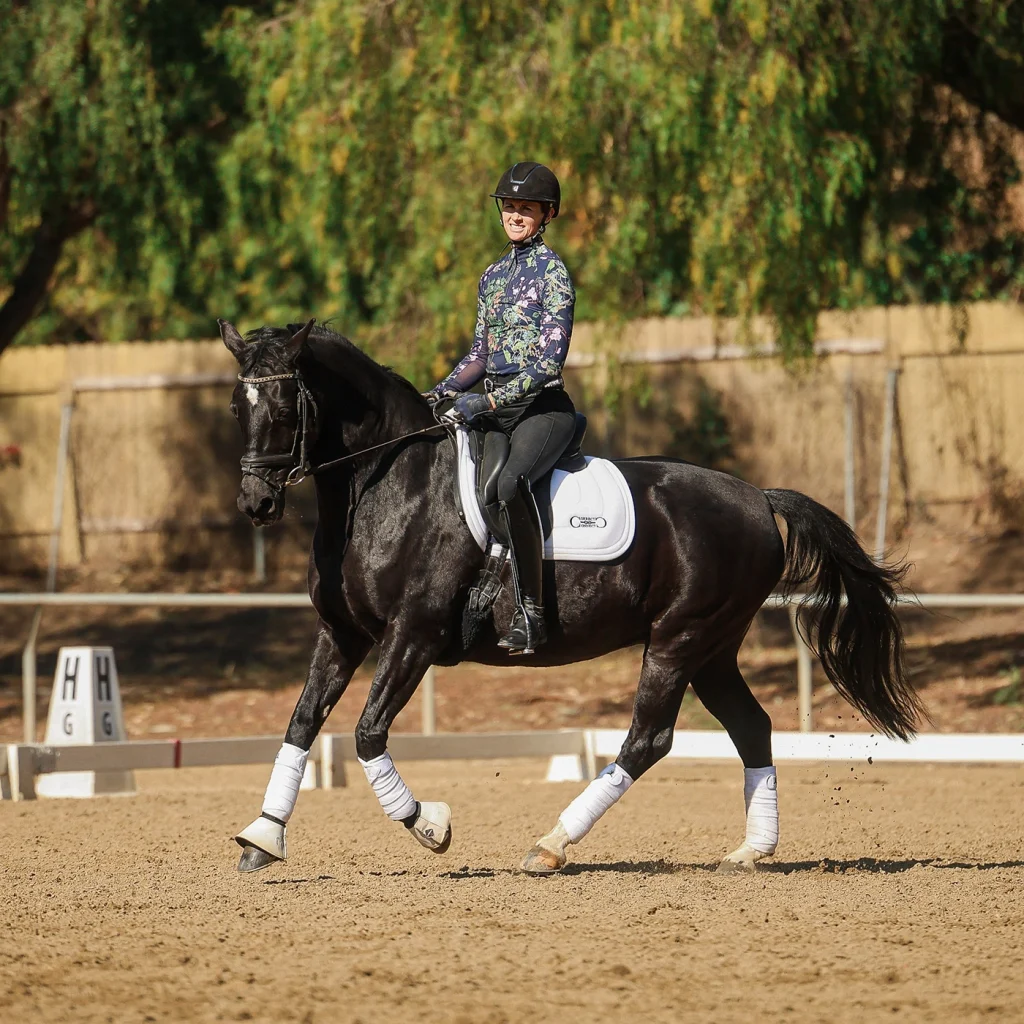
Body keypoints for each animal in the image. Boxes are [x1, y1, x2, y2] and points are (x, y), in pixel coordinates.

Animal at [218, 317, 921, 876]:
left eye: (283, 406)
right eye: (235, 408)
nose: (256, 505)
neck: (389, 484)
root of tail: (757, 497)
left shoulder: (412, 633)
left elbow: (366, 733)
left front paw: (431, 826)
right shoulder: (343, 633)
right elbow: (302, 723)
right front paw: (263, 837)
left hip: (679, 638)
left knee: (648, 739)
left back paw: (551, 844)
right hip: (712, 649)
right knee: (750, 726)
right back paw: (750, 851)